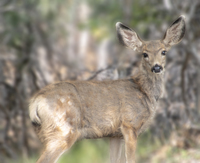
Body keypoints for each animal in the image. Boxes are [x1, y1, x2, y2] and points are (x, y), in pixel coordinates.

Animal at [29, 15, 186, 163]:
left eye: (164, 52)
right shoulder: (129, 124)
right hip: (63, 130)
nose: (157, 67)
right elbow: (130, 159)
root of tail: (35, 102)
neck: (144, 92)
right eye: (144, 54)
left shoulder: (115, 134)